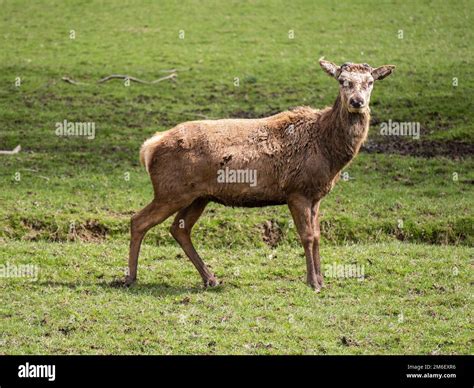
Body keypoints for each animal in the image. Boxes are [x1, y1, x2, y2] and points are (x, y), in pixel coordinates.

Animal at [124, 59, 394, 292]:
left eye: (370, 81)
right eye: (342, 80)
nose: (357, 102)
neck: (329, 153)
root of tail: (149, 147)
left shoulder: (316, 195)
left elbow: (318, 236)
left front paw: (321, 279)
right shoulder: (296, 191)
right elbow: (307, 236)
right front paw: (313, 283)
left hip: (198, 196)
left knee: (179, 228)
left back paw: (211, 278)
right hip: (171, 190)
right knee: (138, 220)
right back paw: (130, 278)